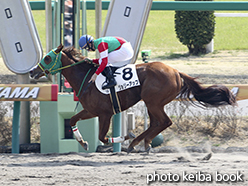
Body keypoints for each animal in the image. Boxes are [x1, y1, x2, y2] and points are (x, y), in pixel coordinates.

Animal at [29, 44, 236, 153]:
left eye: (47, 58)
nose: (32, 71)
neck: (87, 78)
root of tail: (177, 72)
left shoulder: (105, 113)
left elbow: (103, 137)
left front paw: (126, 136)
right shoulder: (91, 110)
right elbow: (72, 120)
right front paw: (82, 142)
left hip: (153, 101)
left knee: (164, 122)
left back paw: (136, 142)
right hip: (152, 103)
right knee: (156, 123)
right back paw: (141, 143)